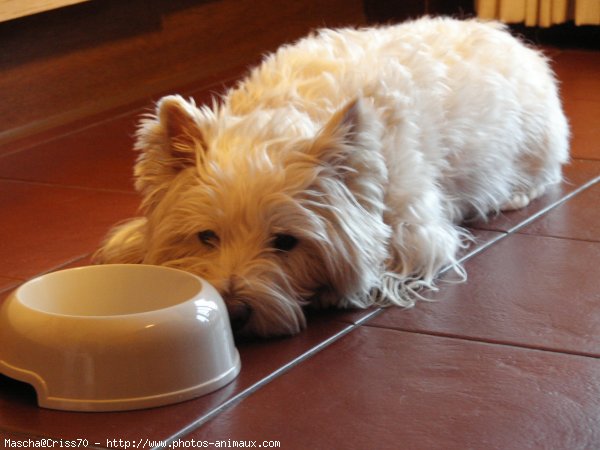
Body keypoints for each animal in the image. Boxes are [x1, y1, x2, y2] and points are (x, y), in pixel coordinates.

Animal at [94, 17, 568, 338]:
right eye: (206, 236)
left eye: (286, 242)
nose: (235, 312)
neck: (285, 115)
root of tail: (511, 37)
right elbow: (129, 244)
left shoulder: (417, 229)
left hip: (534, 145)